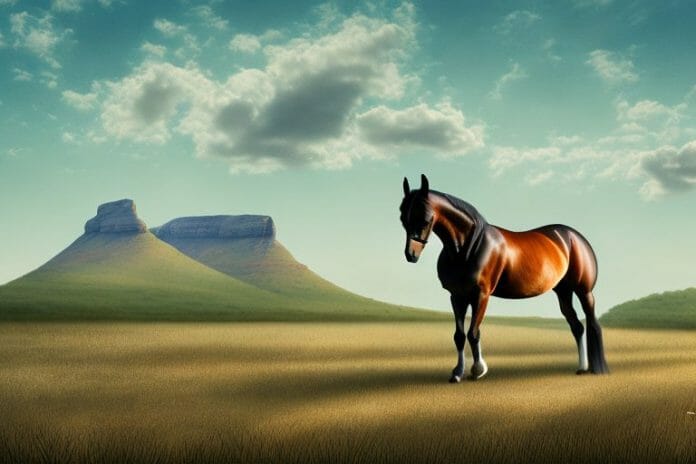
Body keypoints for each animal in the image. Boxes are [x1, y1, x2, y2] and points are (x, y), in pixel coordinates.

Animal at [399, 174, 608, 382]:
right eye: (403, 218)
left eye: (425, 218)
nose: (411, 255)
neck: (469, 247)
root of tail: (574, 236)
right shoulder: (457, 296)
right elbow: (459, 336)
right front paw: (457, 373)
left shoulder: (481, 295)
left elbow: (473, 333)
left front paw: (478, 370)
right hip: (563, 292)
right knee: (577, 327)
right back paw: (581, 368)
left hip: (584, 291)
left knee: (591, 321)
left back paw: (596, 368)